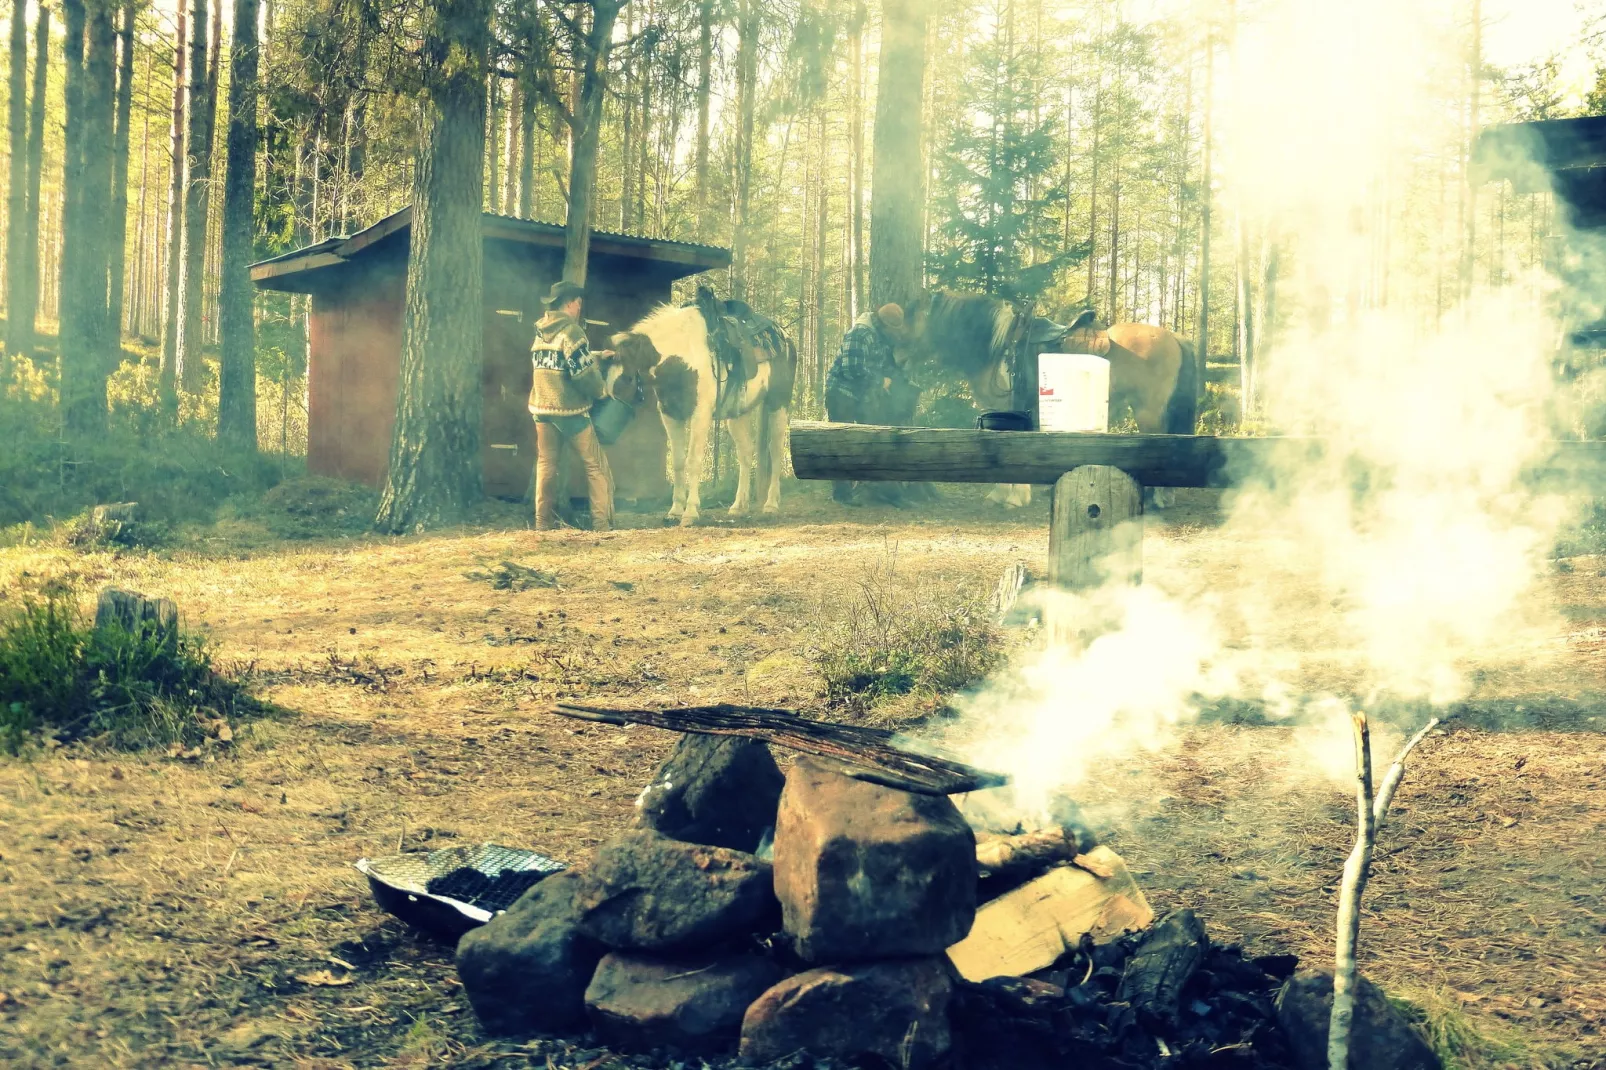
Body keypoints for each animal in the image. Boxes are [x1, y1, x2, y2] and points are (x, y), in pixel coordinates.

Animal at [607, 289, 796, 523]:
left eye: (626, 378)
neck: (684, 355)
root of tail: (785, 337)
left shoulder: (700, 415)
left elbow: (693, 461)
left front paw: (690, 512)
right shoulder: (671, 415)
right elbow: (678, 462)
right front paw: (675, 510)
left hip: (778, 403)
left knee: (775, 449)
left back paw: (770, 505)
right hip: (737, 413)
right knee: (745, 451)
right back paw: (738, 506)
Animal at [899, 289, 1201, 507]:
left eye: (913, 321)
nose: (899, 358)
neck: (999, 347)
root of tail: (1174, 337)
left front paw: (1010, 496)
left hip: (1148, 410)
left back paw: (1158, 498)